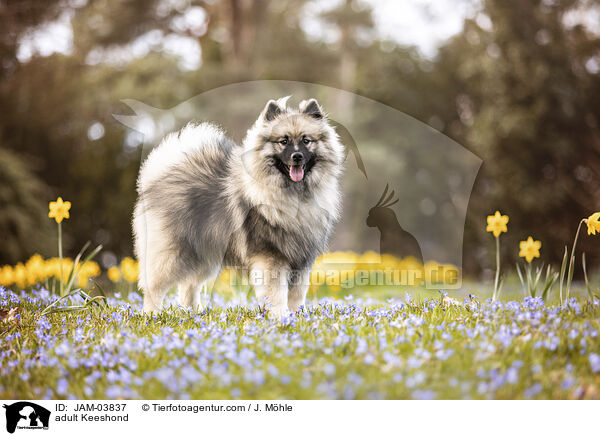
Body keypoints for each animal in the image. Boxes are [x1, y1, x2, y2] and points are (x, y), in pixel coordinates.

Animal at [134, 97, 344, 316]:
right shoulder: (271, 257)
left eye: (306, 140)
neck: (295, 196)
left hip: (204, 253)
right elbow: (277, 294)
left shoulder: (301, 262)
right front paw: (280, 317)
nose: (297, 156)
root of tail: (162, 170)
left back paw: (194, 314)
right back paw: (152, 315)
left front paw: (296, 317)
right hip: (171, 253)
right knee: (154, 287)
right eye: (283, 141)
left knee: (188, 286)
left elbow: (296, 297)